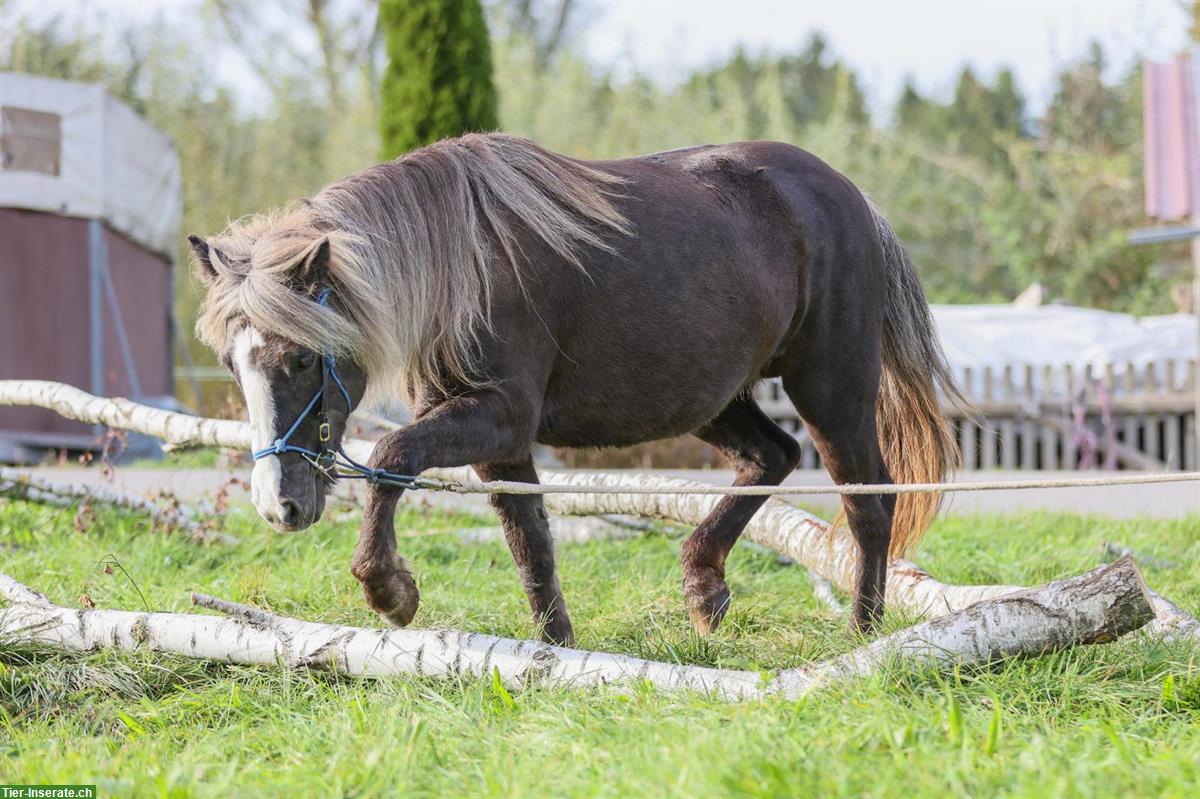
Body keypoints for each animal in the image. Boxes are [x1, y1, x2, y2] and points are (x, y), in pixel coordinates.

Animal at [189, 131, 955, 643]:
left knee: (870, 502)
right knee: (772, 458)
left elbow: (391, 457)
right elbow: (528, 535)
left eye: (299, 359)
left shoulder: (499, 416)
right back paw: (704, 585)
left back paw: (862, 629)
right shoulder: (496, 439)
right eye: (232, 362)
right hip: (711, 399)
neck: (461, 261)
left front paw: (390, 591)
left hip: (831, 389)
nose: (280, 505)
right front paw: (556, 647)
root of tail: (852, 197)